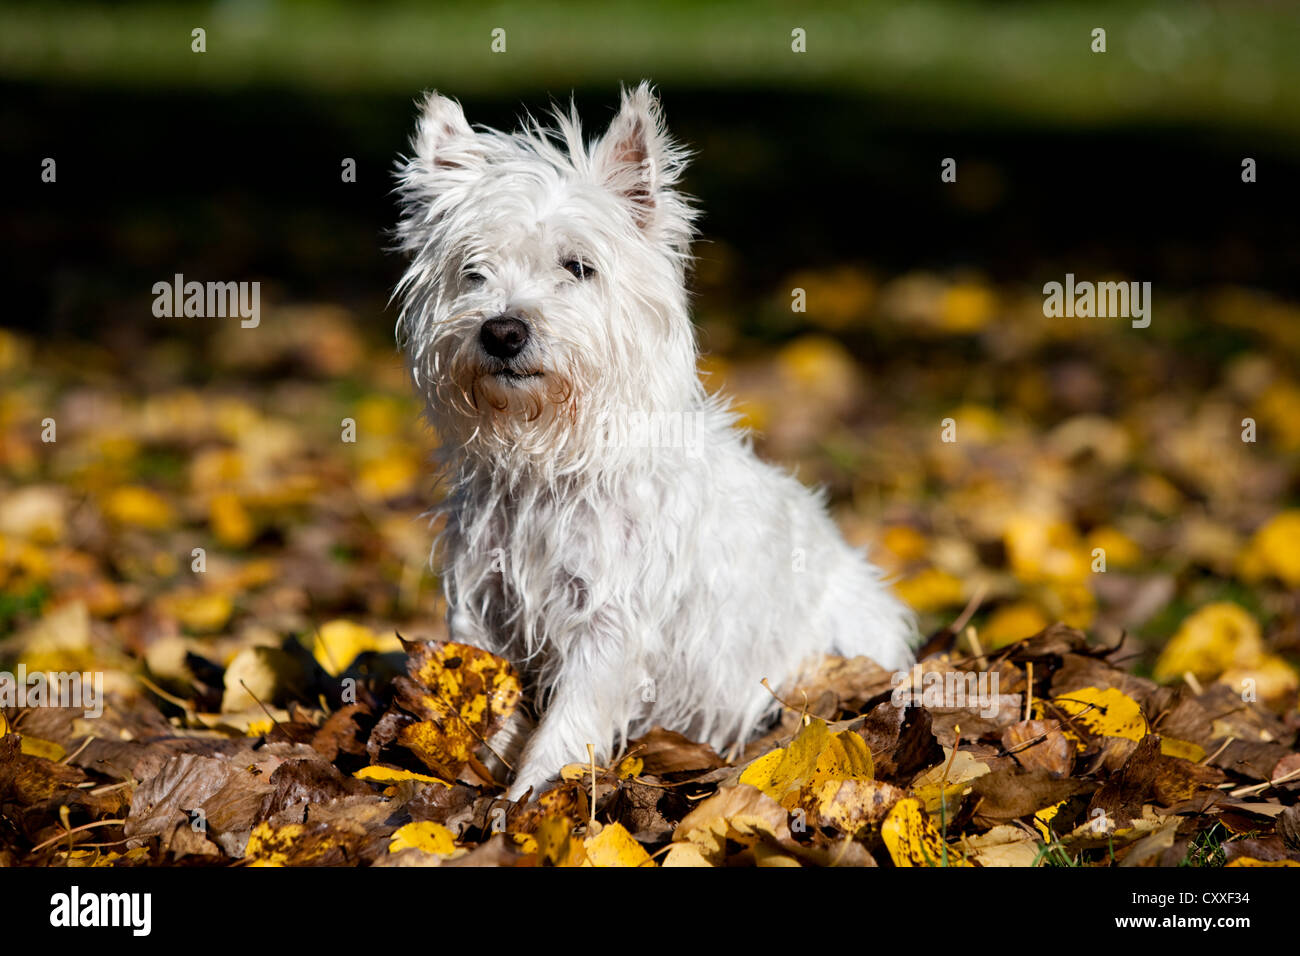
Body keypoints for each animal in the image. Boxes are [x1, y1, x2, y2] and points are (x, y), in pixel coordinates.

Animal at [395, 83, 915, 801]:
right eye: (473, 272)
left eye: (578, 266)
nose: (502, 331)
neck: (556, 457)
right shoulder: (484, 602)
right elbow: (488, 697)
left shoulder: (610, 622)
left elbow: (569, 721)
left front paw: (531, 799)